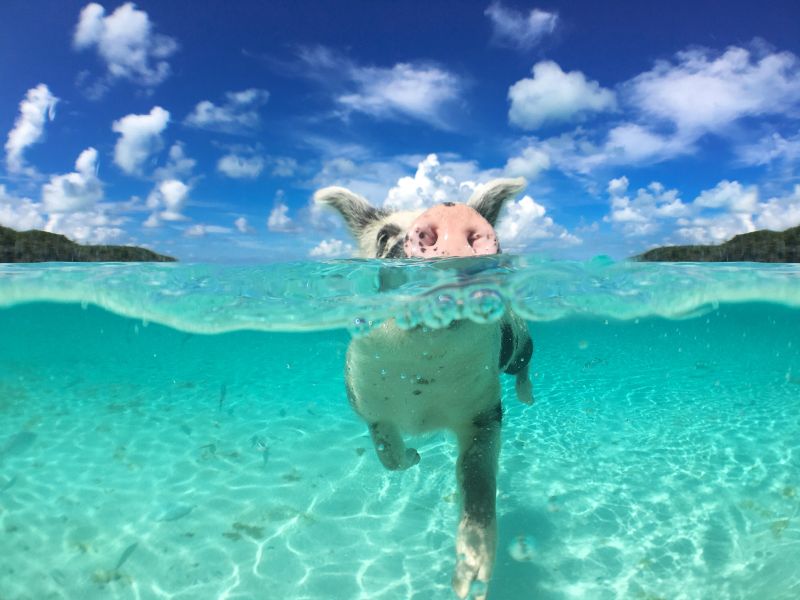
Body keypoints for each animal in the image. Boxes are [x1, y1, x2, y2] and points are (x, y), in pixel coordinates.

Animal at [314, 178, 534, 599]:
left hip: (519, 341)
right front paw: (414, 457)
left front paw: (470, 582)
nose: (450, 214)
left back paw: (527, 396)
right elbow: (386, 451)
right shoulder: (366, 400)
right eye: (384, 236)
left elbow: (477, 476)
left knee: (523, 365)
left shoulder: (485, 410)